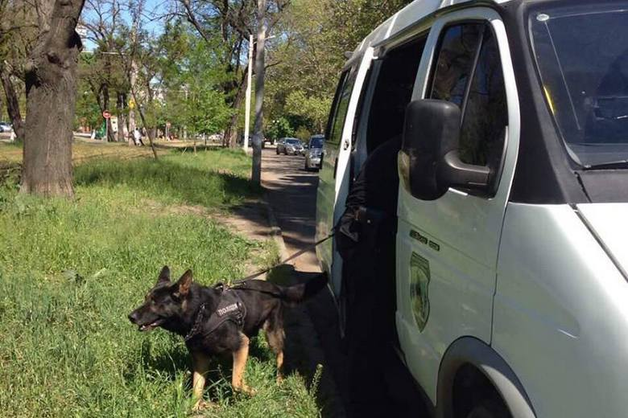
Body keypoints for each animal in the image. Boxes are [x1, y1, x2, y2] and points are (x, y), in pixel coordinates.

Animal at [127, 268, 324, 408]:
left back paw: (279, 380)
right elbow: (197, 387)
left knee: (280, 355)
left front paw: (251, 391)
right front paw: (193, 407)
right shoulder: (201, 358)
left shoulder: (240, 345)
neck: (200, 312)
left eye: (155, 302)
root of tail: (275, 287)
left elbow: (236, 381)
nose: (131, 316)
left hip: (271, 334)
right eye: (146, 298)